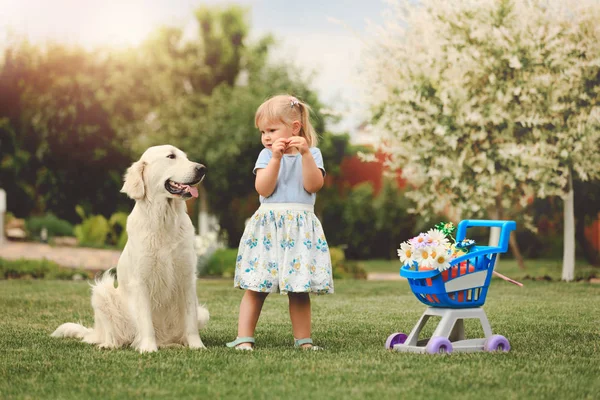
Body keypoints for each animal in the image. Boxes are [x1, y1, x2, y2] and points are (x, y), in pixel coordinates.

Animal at [52, 145, 211, 352]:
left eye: (186, 157)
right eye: (171, 156)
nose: (202, 168)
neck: (164, 220)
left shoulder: (187, 277)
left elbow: (190, 320)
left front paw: (197, 346)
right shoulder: (141, 281)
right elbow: (146, 321)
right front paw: (148, 348)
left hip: (203, 311)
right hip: (102, 292)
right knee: (112, 335)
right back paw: (109, 344)